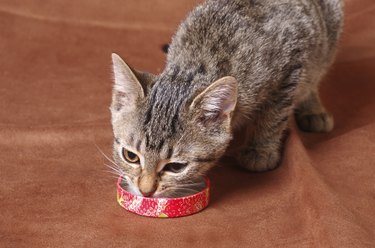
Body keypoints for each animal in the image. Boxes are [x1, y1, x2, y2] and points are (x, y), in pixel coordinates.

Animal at [109, 0, 344, 198]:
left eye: (175, 167)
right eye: (130, 156)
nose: (145, 192)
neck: (197, 63)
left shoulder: (291, 67)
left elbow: (273, 115)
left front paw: (261, 150)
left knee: (314, 76)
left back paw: (313, 110)